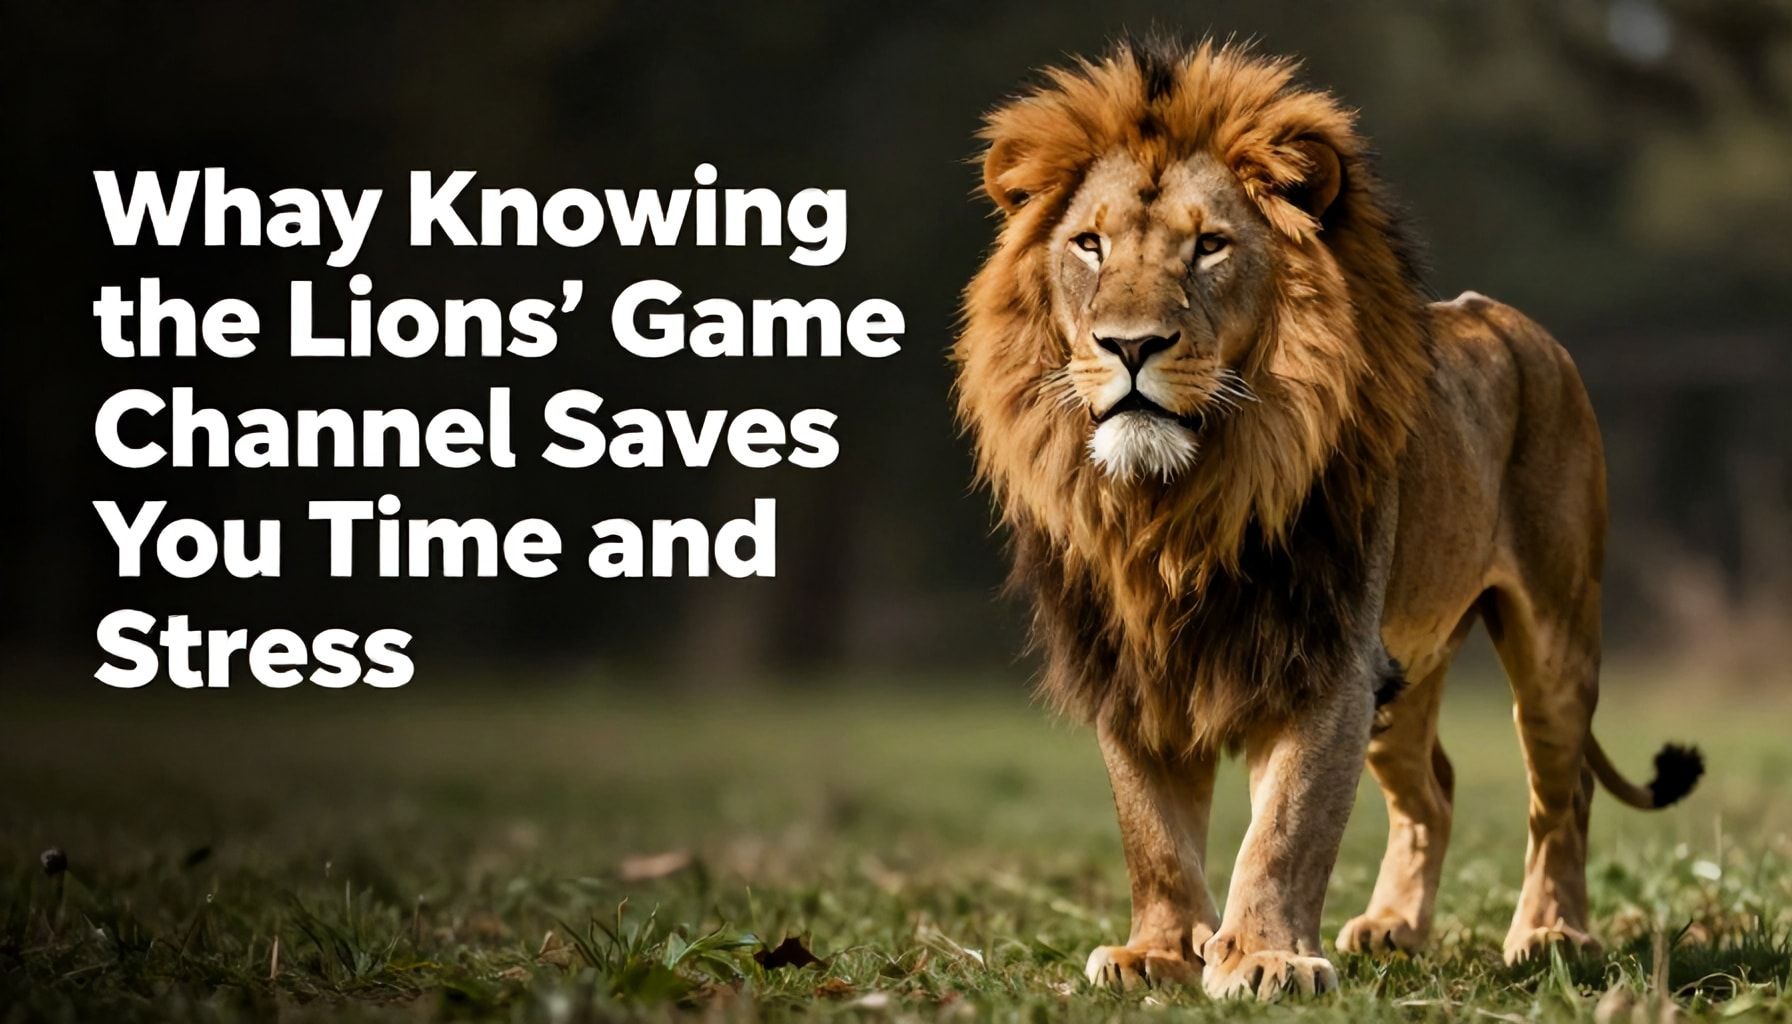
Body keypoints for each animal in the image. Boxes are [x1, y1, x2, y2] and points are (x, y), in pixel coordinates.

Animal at [954, 39, 1704, 999]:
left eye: (1209, 247)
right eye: (1089, 244)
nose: (1130, 345)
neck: (1176, 505)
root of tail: (1512, 319)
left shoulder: (1326, 657)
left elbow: (1285, 827)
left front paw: (1264, 956)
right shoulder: (1129, 662)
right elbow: (1152, 831)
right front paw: (1157, 953)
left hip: (1554, 635)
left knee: (1561, 792)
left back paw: (1552, 937)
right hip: (1408, 669)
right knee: (1435, 788)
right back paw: (1392, 929)